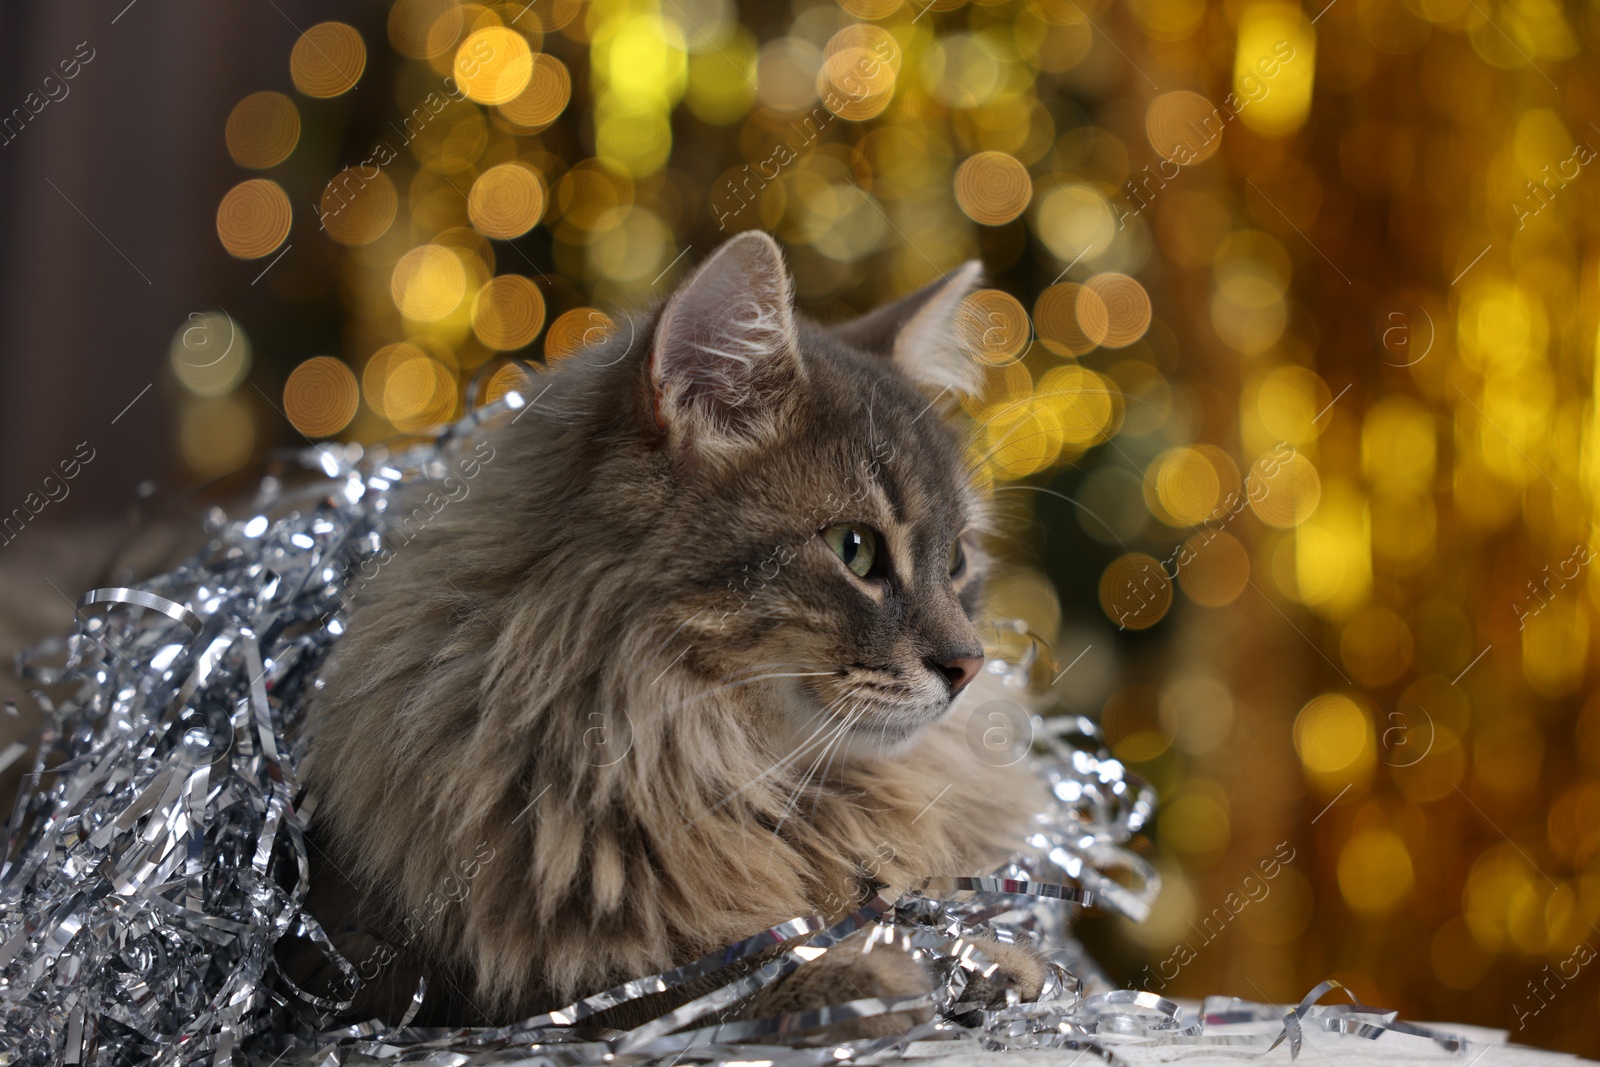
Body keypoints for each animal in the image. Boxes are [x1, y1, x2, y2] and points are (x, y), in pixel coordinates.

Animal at [292, 231, 1049, 1036]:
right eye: (854, 550)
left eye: (958, 559)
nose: (967, 666)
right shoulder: (436, 979)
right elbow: (706, 978)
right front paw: (873, 975)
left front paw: (978, 958)